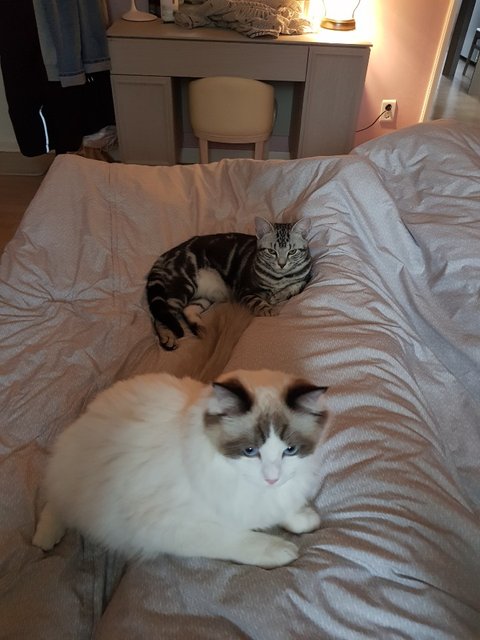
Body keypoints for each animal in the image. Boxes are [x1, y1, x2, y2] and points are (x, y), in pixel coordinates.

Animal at [33, 369, 330, 568]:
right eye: (249, 451)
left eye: (290, 450)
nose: (272, 478)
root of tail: (88, 412)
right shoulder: (170, 526)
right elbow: (237, 538)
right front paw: (278, 550)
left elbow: (279, 509)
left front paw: (302, 518)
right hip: (77, 484)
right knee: (55, 503)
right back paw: (44, 539)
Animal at [146, 216, 312, 350]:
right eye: (271, 251)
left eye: (292, 252)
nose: (282, 264)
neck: (280, 278)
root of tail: (168, 253)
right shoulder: (245, 290)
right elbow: (258, 301)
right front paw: (268, 309)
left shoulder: (306, 277)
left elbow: (297, 286)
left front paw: (279, 295)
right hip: (183, 285)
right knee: (160, 316)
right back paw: (168, 336)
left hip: (204, 296)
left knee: (187, 309)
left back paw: (202, 329)